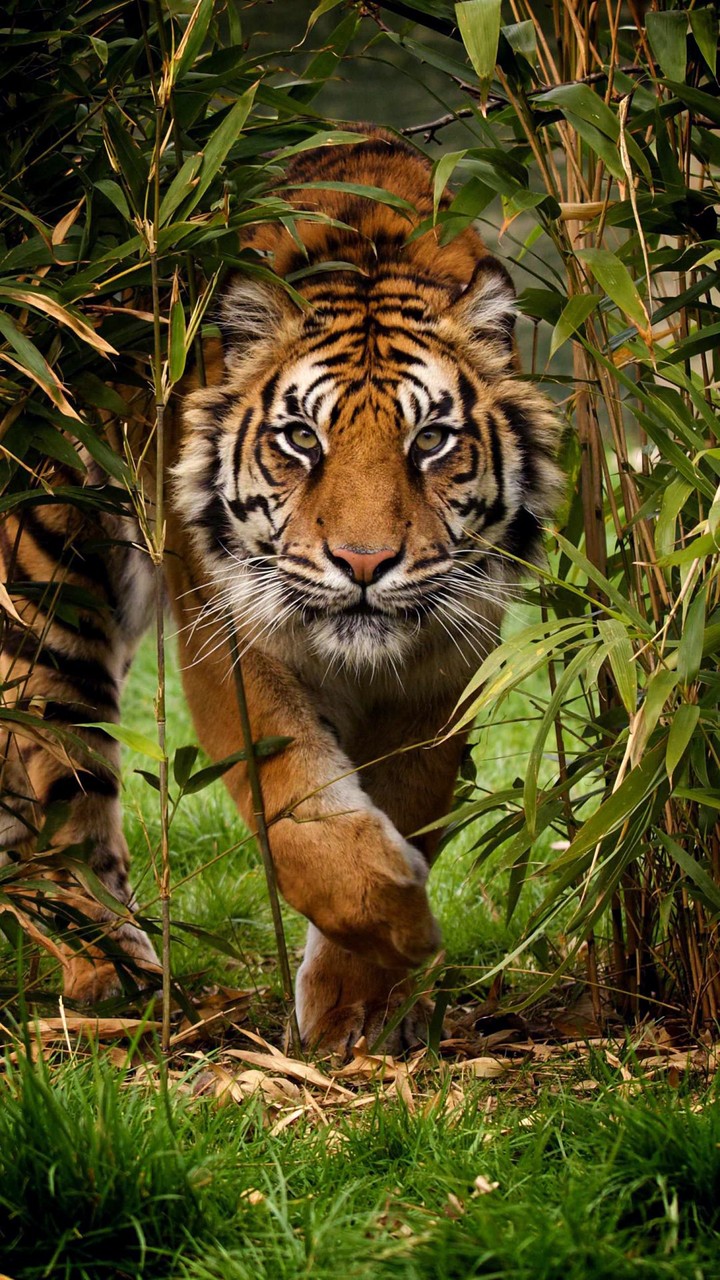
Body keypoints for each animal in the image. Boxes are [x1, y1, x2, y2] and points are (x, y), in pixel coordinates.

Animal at [0, 128, 561, 1055]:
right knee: (57, 795)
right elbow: (298, 811)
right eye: (301, 437)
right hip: (51, 590)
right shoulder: (228, 631)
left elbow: (404, 800)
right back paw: (113, 982)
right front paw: (406, 927)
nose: (364, 563)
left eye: (431, 440)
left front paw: (360, 1007)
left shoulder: (446, 657)